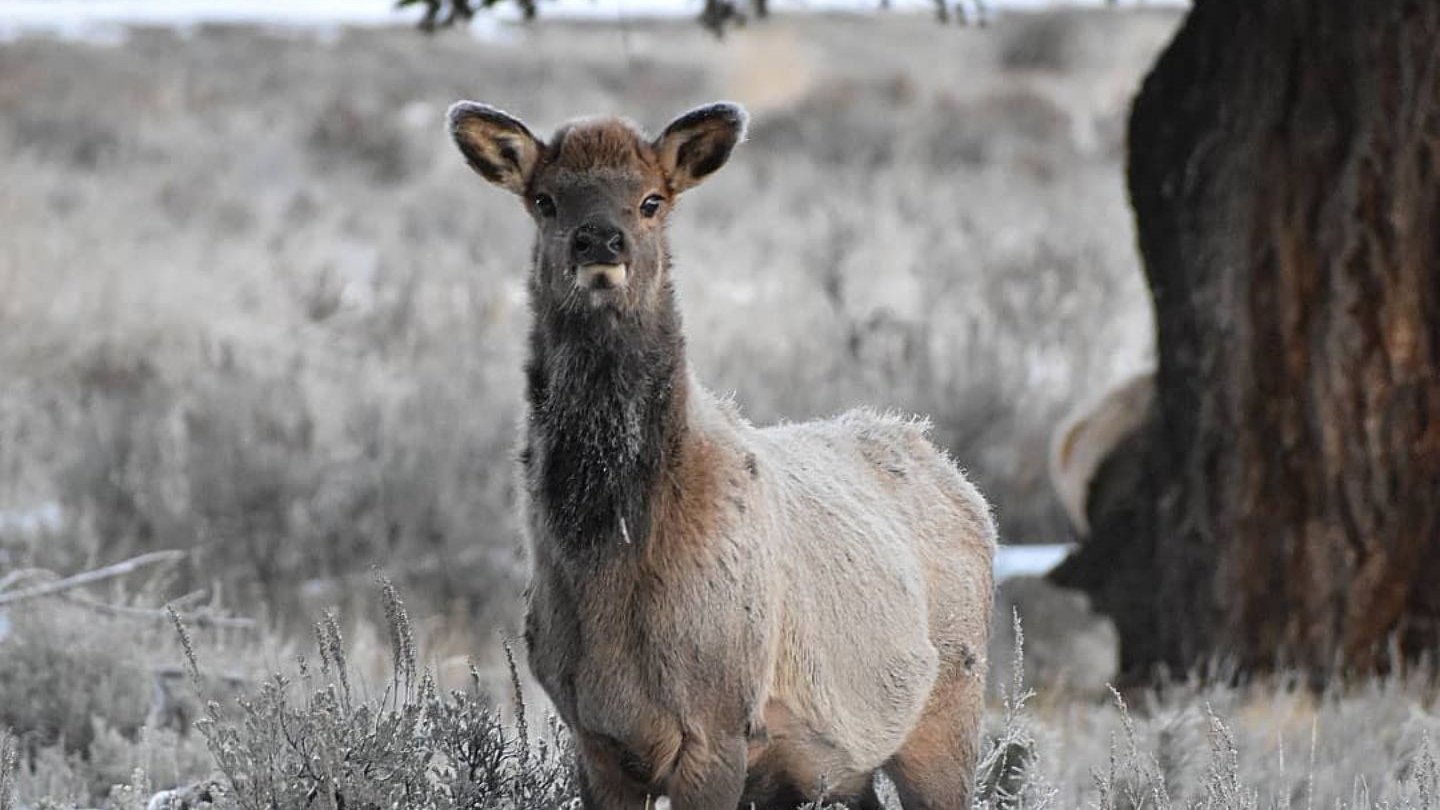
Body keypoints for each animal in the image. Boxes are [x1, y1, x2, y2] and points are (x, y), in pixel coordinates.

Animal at [443, 99, 996, 807]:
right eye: (545, 200)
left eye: (651, 200)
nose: (599, 240)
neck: (612, 560)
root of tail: (960, 481)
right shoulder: (593, 737)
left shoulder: (718, 722)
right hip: (837, 771)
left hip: (950, 708)